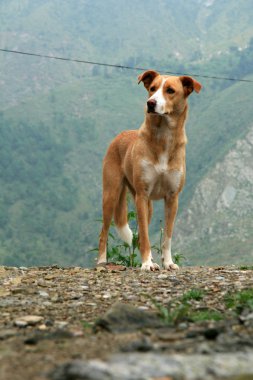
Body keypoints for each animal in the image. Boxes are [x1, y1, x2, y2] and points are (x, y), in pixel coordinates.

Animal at [97, 70, 202, 270]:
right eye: (152, 88)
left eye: (170, 90)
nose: (150, 103)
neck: (164, 137)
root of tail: (120, 135)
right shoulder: (142, 195)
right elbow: (145, 235)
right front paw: (146, 264)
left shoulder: (172, 198)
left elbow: (167, 236)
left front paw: (168, 263)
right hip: (111, 195)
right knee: (104, 232)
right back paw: (101, 261)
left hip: (148, 206)